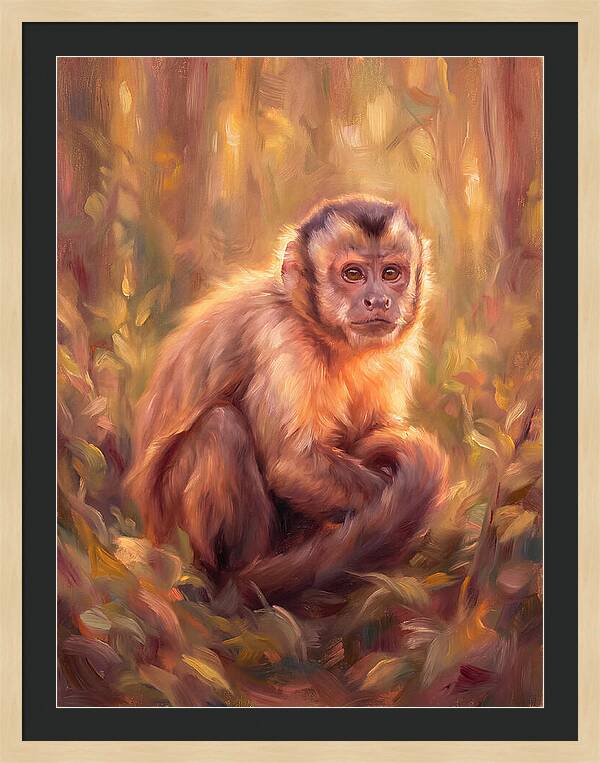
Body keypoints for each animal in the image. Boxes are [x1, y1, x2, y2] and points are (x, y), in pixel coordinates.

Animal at [126, 195, 447, 606]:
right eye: (353, 275)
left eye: (391, 273)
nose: (378, 300)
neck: (324, 335)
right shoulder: (281, 337)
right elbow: (292, 463)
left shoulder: (395, 353)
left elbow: (373, 431)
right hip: (172, 530)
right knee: (222, 427)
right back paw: (239, 577)